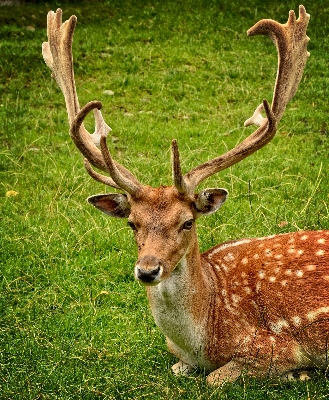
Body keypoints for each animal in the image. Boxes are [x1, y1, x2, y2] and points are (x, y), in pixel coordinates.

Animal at [42, 3, 328, 384]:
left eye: (188, 222)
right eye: (132, 223)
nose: (148, 270)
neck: (204, 340)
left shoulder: (273, 347)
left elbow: (214, 379)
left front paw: (300, 374)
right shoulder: (180, 358)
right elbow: (180, 370)